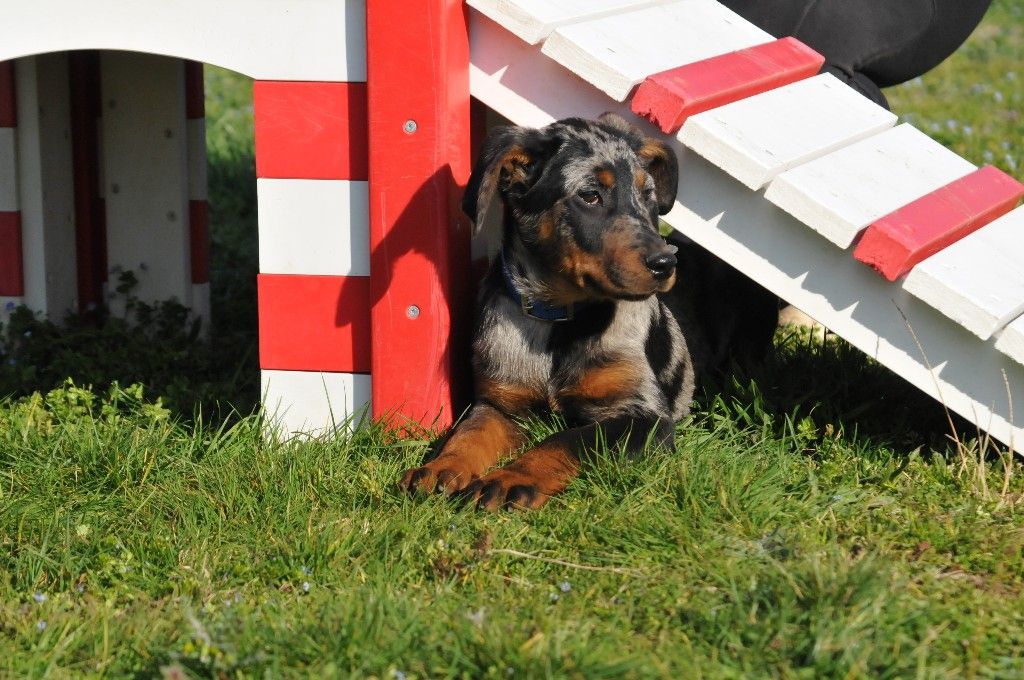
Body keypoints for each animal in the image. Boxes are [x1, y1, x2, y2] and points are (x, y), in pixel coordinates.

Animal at [399, 113, 776, 510]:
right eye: (590, 195)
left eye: (648, 195)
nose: (665, 263)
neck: (560, 320)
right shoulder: (498, 403)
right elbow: (469, 433)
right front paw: (441, 467)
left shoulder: (643, 417)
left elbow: (568, 440)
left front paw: (510, 479)